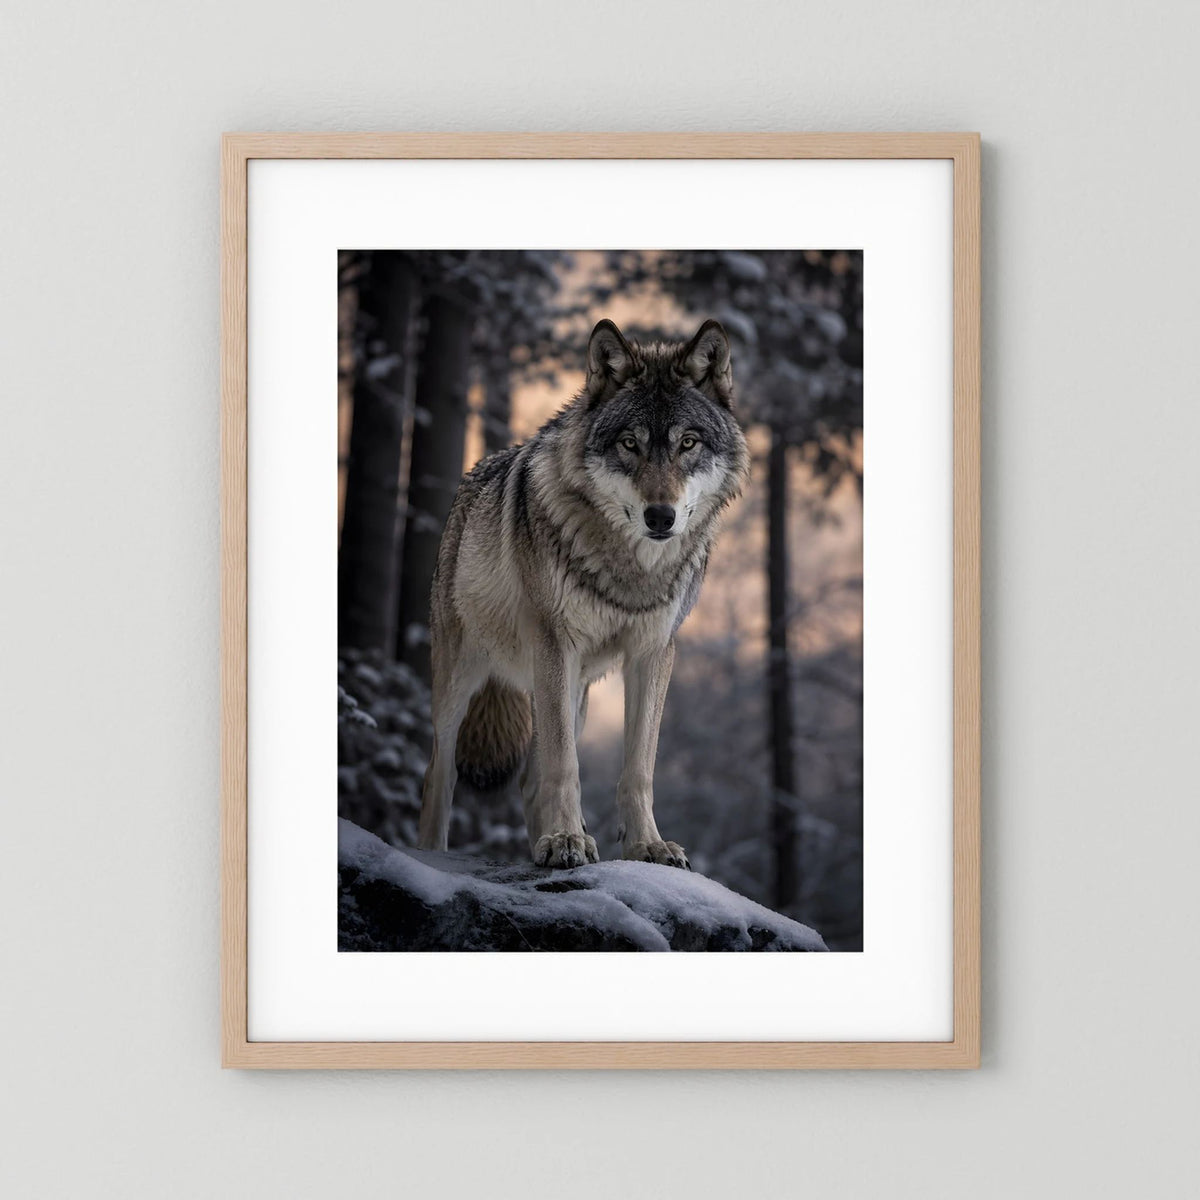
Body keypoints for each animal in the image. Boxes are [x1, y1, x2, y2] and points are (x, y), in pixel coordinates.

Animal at [416, 318, 750, 870]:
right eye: (630, 443)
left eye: (688, 443)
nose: (661, 516)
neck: (630, 569)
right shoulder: (556, 644)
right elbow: (565, 766)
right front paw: (566, 840)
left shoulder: (653, 653)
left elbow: (638, 768)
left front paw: (647, 846)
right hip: (464, 680)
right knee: (439, 773)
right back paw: (435, 855)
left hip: (576, 692)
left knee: (530, 780)